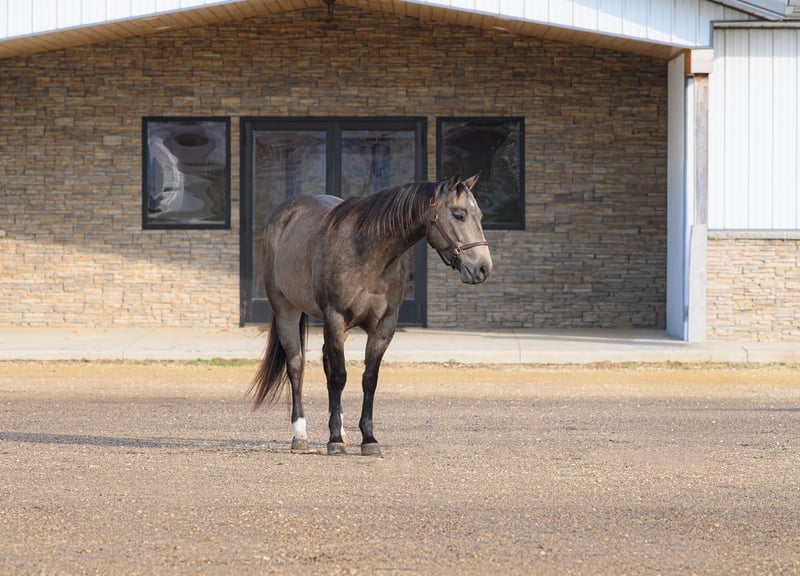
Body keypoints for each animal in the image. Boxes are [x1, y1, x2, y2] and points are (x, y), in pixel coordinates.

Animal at [249, 174, 493, 456]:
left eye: (480, 215)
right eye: (459, 214)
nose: (483, 267)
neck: (367, 252)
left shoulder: (384, 326)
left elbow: (369, 379)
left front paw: (368, 438)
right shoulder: (336, 319)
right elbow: (339, 377)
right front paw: (333, 441)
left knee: (325, 362)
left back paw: (341, 431)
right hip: (286, 312)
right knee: (297, 367)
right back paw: (300, 434)